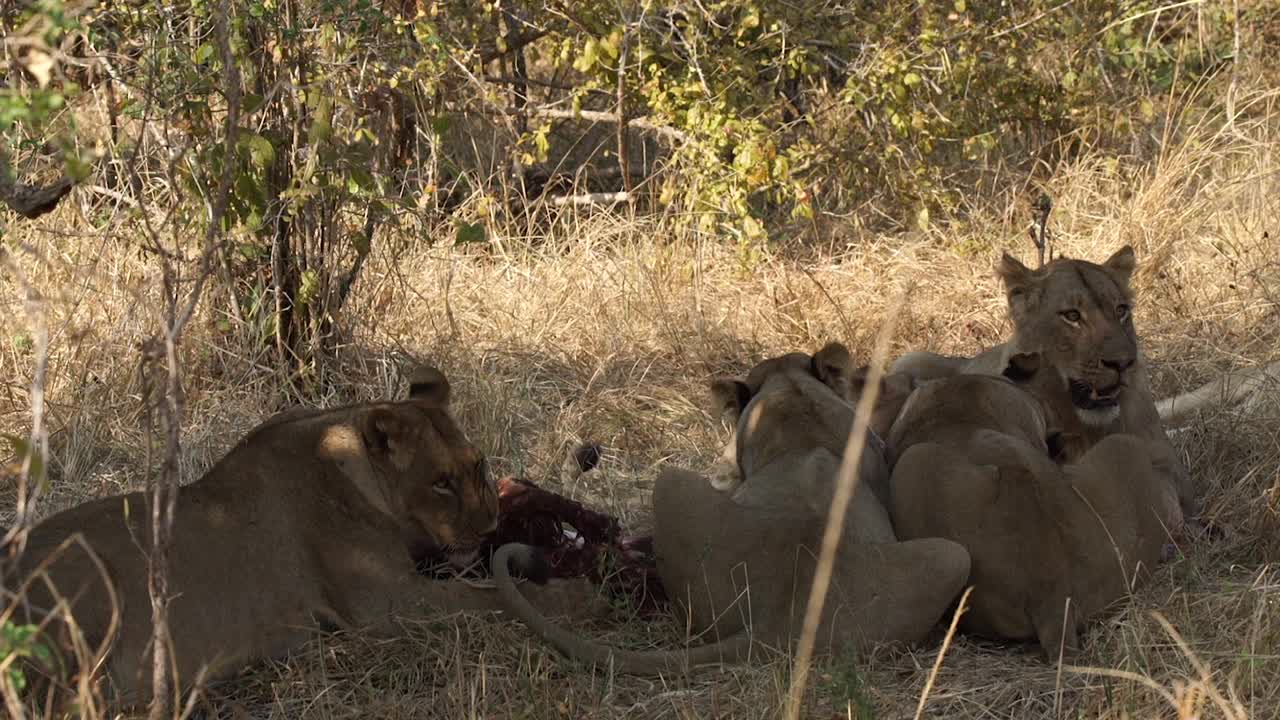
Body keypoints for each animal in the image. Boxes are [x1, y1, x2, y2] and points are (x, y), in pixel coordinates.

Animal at [1, 366, 599, 702]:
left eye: (477, 466)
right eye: (440, 483)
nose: (490, 524)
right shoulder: (389, 605)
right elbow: (488, 599)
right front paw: (574, 597)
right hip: (87, 577)